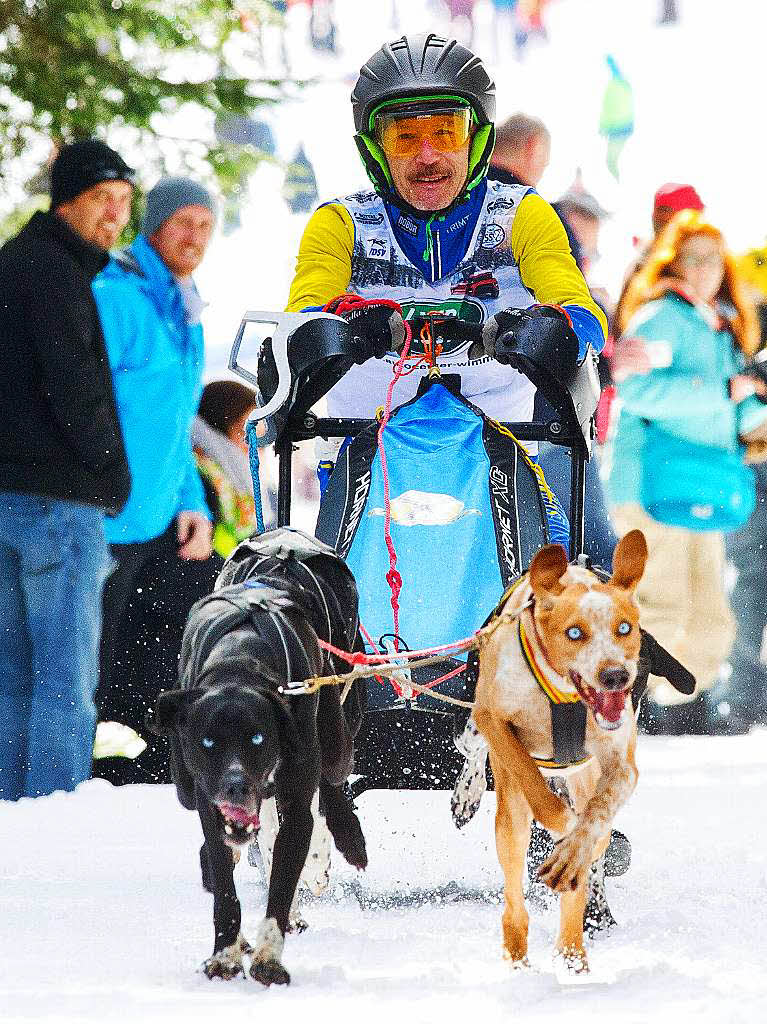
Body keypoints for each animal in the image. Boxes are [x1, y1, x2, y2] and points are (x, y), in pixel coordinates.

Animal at [148, 528, 368, 983]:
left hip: (337, 732)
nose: (235, 786)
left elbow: (283, 882)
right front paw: (226, 953)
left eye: (257, 738)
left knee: (331, 782)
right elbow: (226, 885)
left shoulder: (297, 798)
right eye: (207, 742)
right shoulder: (207, 804)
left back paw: (341, 840)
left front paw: (269, 957)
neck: (241, 658)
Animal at [473, 532, 647, 970]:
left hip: (586, 783)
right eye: (574, 633)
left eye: (624, 628)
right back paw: (516, 954)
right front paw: (561, 821)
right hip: (510, 818)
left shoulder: (621, 765)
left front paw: (573, 847)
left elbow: (596, 818)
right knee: (515, 897)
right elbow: (535, 784)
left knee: (587, 864)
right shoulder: (492, 720)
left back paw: (572, 952)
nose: (616, 675)